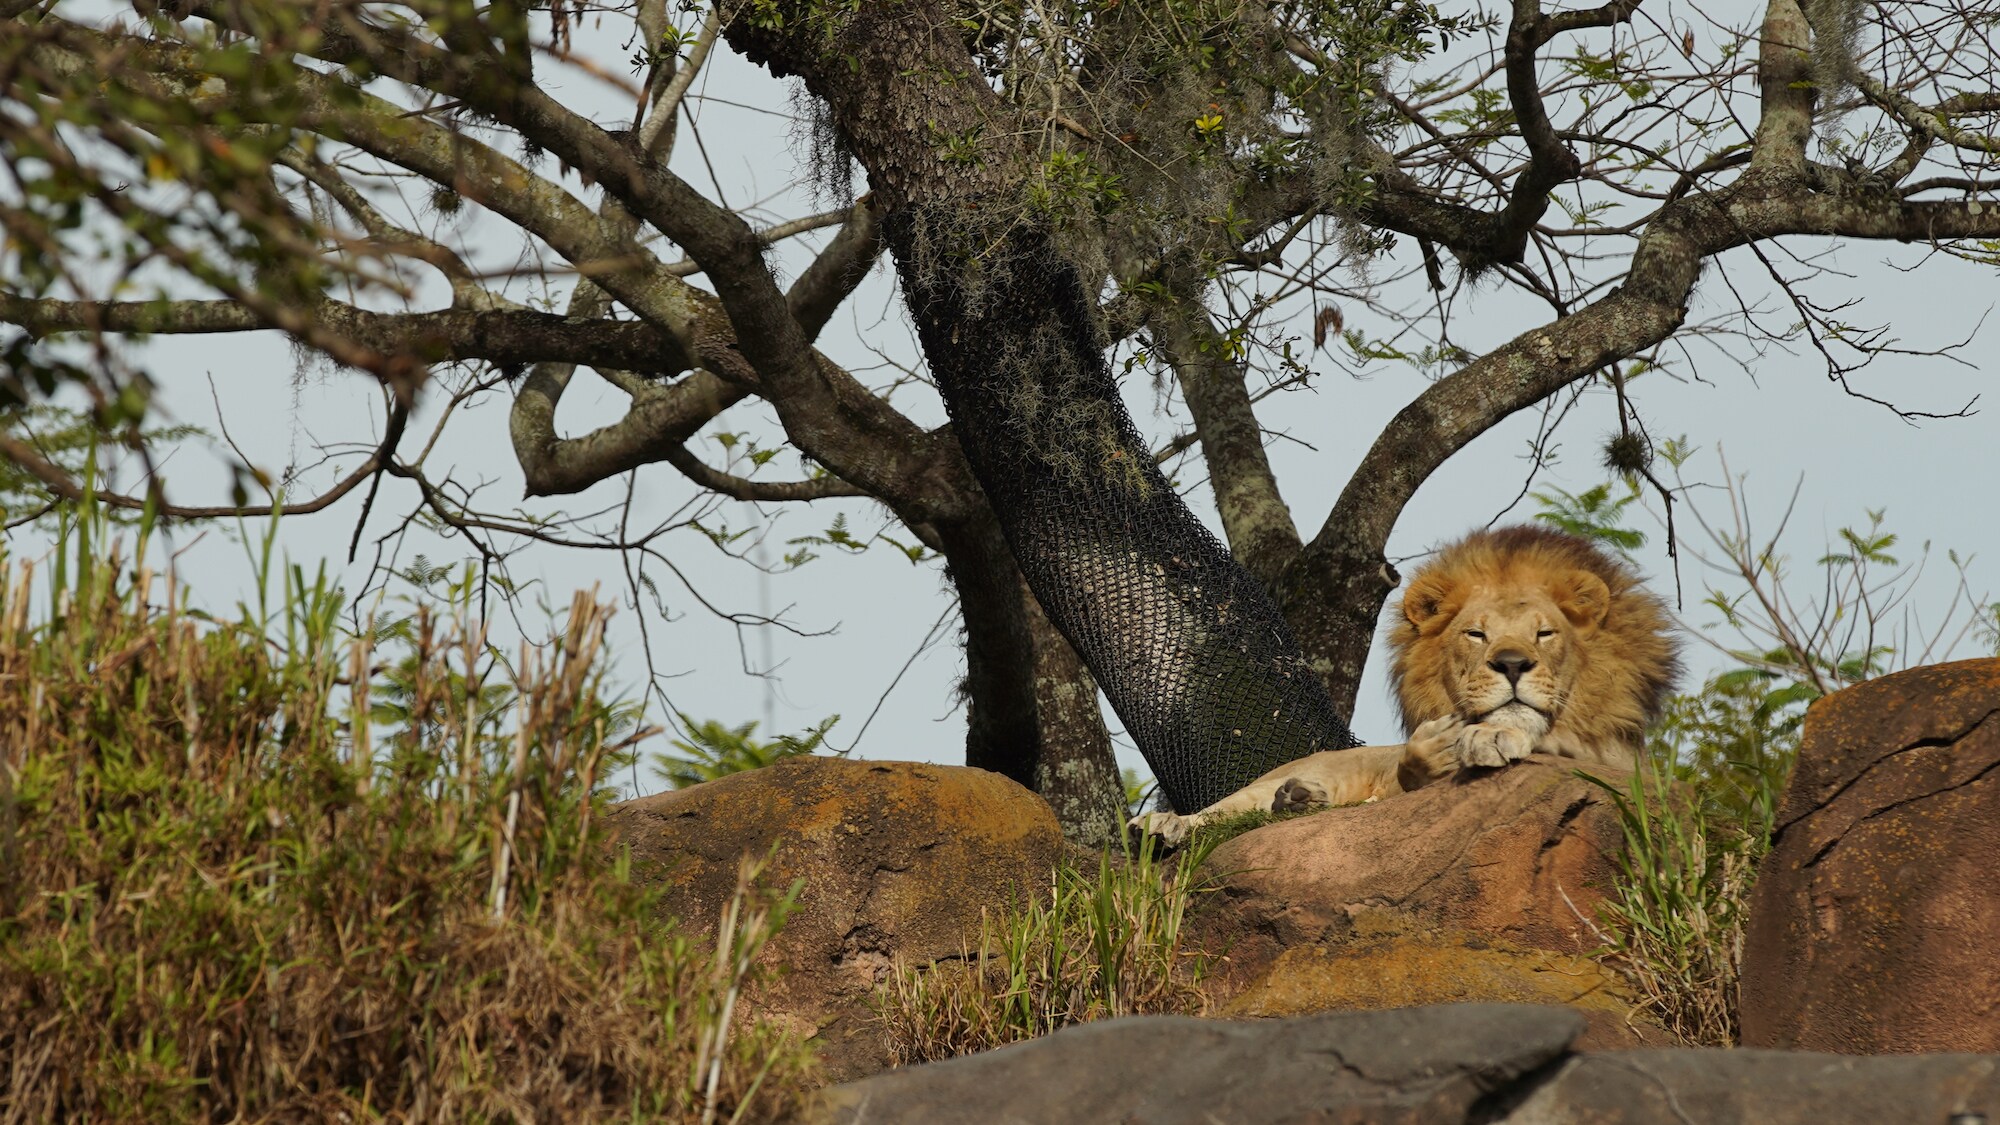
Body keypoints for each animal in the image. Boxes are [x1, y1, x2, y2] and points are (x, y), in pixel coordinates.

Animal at [1136, 524, 1680, 840]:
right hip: (1263, 787)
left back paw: (1298, 799)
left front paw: (1495, 735)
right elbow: (1412, 766)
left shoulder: (1622, 758)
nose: (1511, 664)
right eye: (1476, 634)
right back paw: (1160, 825)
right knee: (1220, 812)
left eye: (1544, 634)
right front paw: (1441, 748)